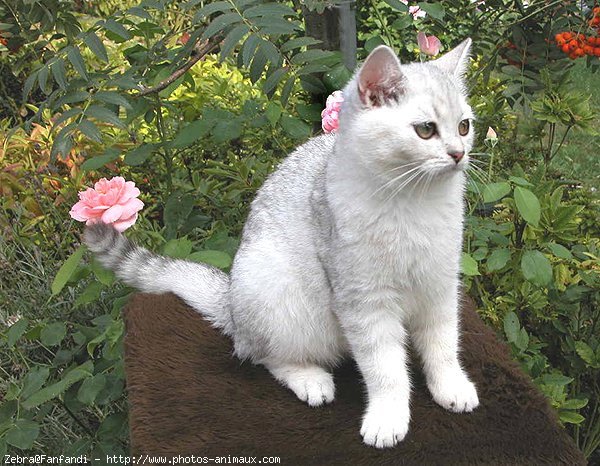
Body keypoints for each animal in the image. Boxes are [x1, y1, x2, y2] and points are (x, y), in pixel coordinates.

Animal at [84, 40, 478, 448]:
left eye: (464, 126)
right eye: (426, 130)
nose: (459, 153)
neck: (414, 203)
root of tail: (230, 303)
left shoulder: (440, 286)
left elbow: (443, 346)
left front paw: (450, 386)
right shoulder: (364, 302)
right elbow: (385, 368)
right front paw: (388, 416)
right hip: (274, 293)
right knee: (262, 356)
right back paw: (310, 379)